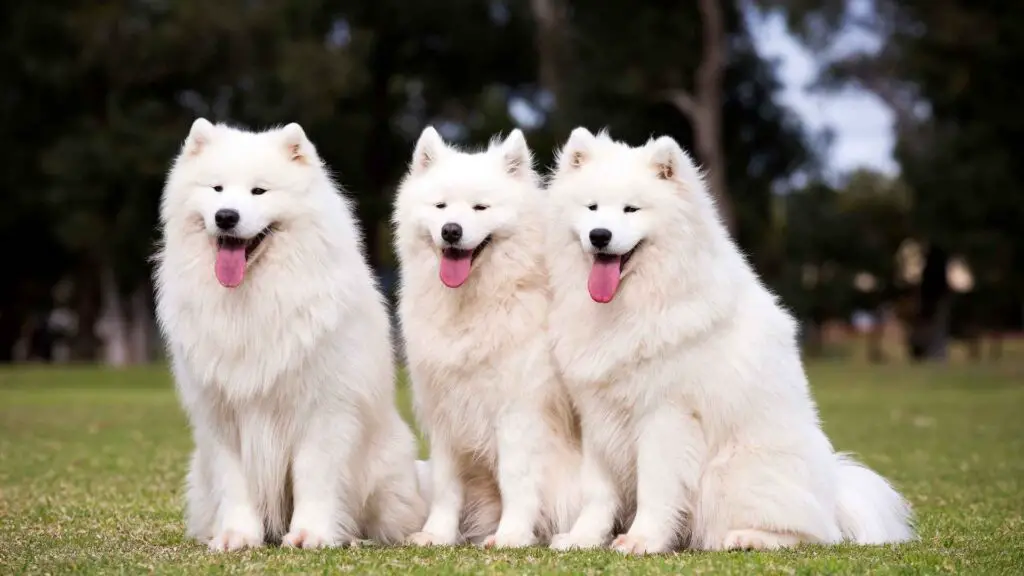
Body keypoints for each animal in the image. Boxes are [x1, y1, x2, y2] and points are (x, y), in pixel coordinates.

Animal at [153, 118, 425, 549]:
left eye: (259, 191)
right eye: (216, 189)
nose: (226, 216)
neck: (252, 297)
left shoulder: (323, 410)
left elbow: (314, 476)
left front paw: (310, 534)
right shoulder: (222, 414)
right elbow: (236, 482)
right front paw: (236, 536)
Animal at [393, 126, 585, 545]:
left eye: (480, 208)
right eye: (441, 207)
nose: (451, 230)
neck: (474, 305)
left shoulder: (517, 412)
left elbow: (517, 481)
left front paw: (511, 535)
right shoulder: (446, 412)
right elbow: (447, 486)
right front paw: (437, 534)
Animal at [544, 129, 913, 553]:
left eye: (630, 210)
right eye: (592, 208)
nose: (599, 236)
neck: (631, 303)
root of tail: (834, 493)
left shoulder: (665, 416)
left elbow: (656, 489)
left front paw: (642, 540)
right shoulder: (596, 415)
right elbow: (597, 493)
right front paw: (583, 538)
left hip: (732, 471)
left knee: (812, 533)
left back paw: (745, 537)